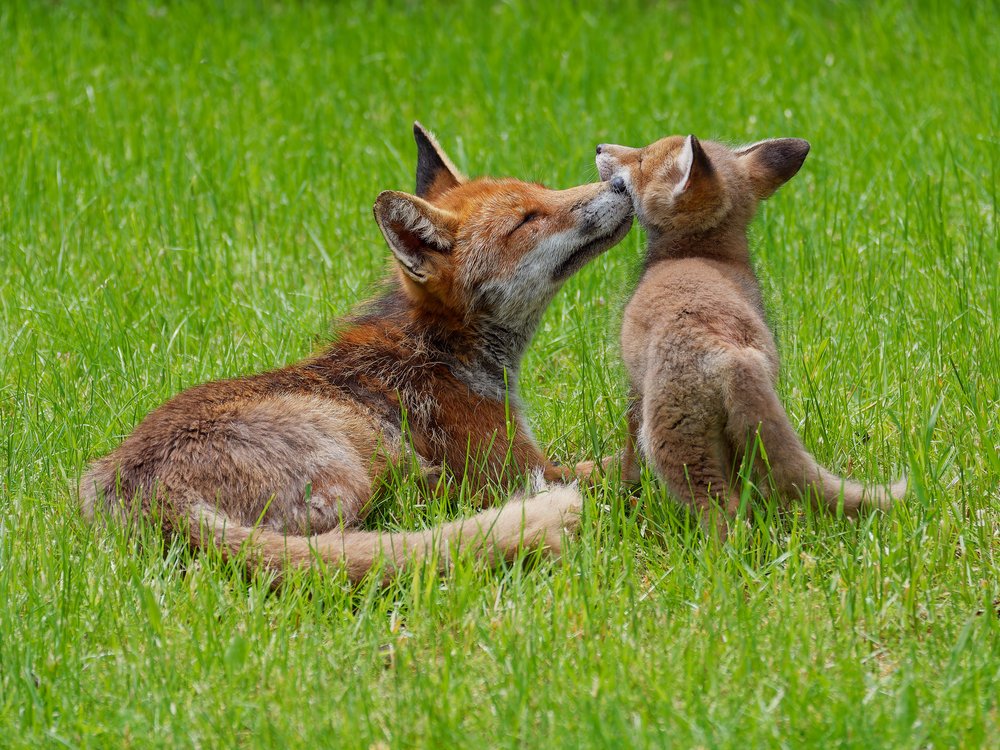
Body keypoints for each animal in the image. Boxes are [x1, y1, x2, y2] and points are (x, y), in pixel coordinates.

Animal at [80, 122, 634, 583]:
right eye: (526, 220)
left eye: (543, 191)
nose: (621, 185)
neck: (439, 350)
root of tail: (151, 494)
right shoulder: (521, 471)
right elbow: (615, 468)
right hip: (353, 469)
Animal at [596, 134, 905, 539]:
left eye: (642, 159)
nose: (600, 148)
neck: (705, 254)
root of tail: (733, 355)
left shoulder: (635, 391)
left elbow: (629, 454)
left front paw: (624, 487)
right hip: (742, 440)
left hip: (676, 449)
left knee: (725, 517)